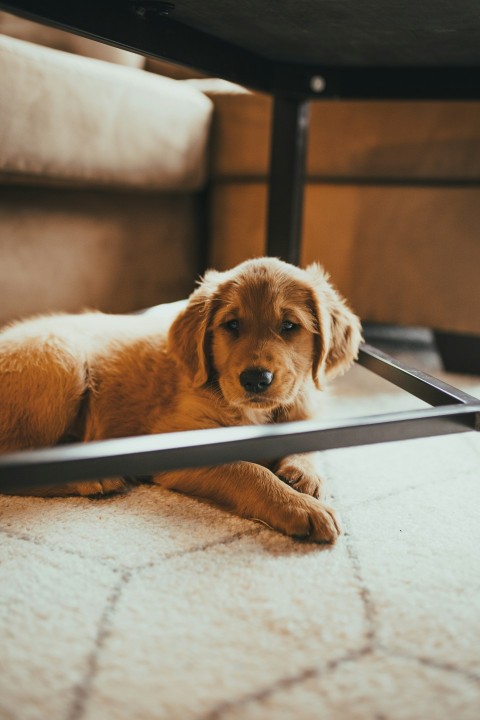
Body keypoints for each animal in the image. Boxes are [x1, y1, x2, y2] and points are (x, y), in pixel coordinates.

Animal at [0, 258, 360, 540]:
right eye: (232, 325)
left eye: (289, 326)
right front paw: (301, 507)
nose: (256, 379)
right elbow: (248, 471)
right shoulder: (179, 442)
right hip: (63, 356)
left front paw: (303, 473)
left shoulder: (302, 403)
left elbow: (308, 435)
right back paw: (94, 477)